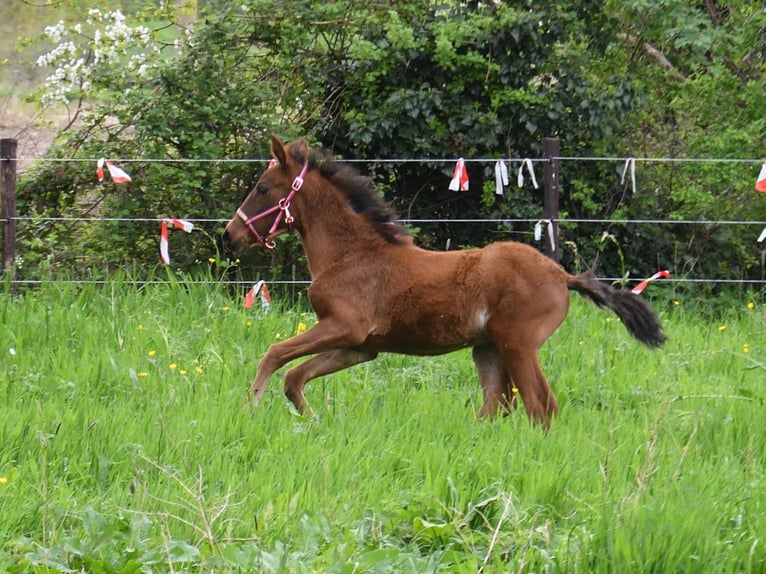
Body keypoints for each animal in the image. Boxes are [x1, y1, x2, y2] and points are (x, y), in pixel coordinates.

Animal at [222, 137, 664, 428]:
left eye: (262, 188)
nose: (229, 236)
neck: (352, 255)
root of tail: (561, 274)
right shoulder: (360, 347)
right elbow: (294, 377)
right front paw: (314, 421)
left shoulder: (344, 327)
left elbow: (275, 354)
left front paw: (248, 406)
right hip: (488, 349)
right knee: (496, 408)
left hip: (518, 345)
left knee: (540, 405)